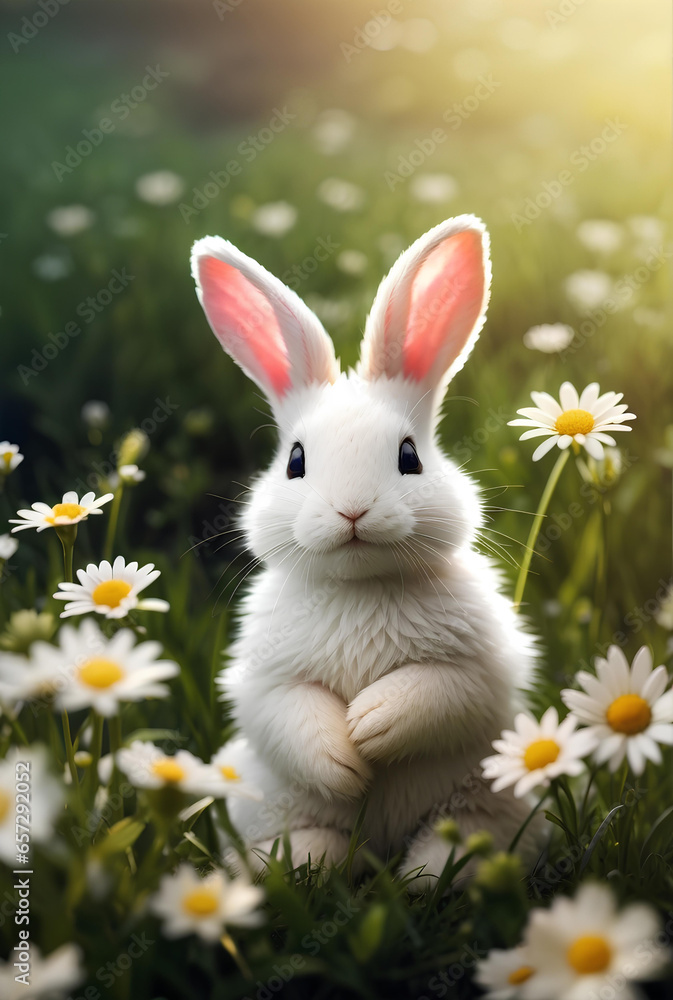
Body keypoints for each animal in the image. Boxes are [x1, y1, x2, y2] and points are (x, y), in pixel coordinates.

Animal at [190, 215, 541, 889]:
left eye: (410, 456)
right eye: (295, 461)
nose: (352, 512)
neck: (361, 586)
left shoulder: (483, 667)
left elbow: (440, 693)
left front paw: (371, 725)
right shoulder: (263, 678)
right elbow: (287, 713)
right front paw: (343, 756)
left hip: (491, 795)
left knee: (463, 841)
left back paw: (424, 874)